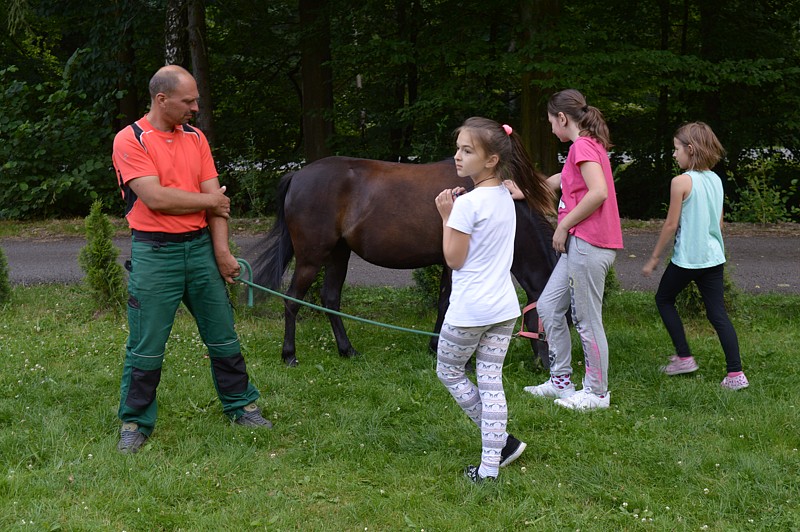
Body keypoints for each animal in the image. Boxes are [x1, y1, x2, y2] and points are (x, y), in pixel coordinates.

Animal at [253, 156, 552, 368]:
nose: (547, 368)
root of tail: (297, 175)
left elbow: (445, 303)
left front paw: (435, 348)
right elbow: (454, 305)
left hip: (339, 254)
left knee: (330, 298)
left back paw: (347, 350)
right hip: (311, 257)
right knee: (292, 300)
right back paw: (289, 355)